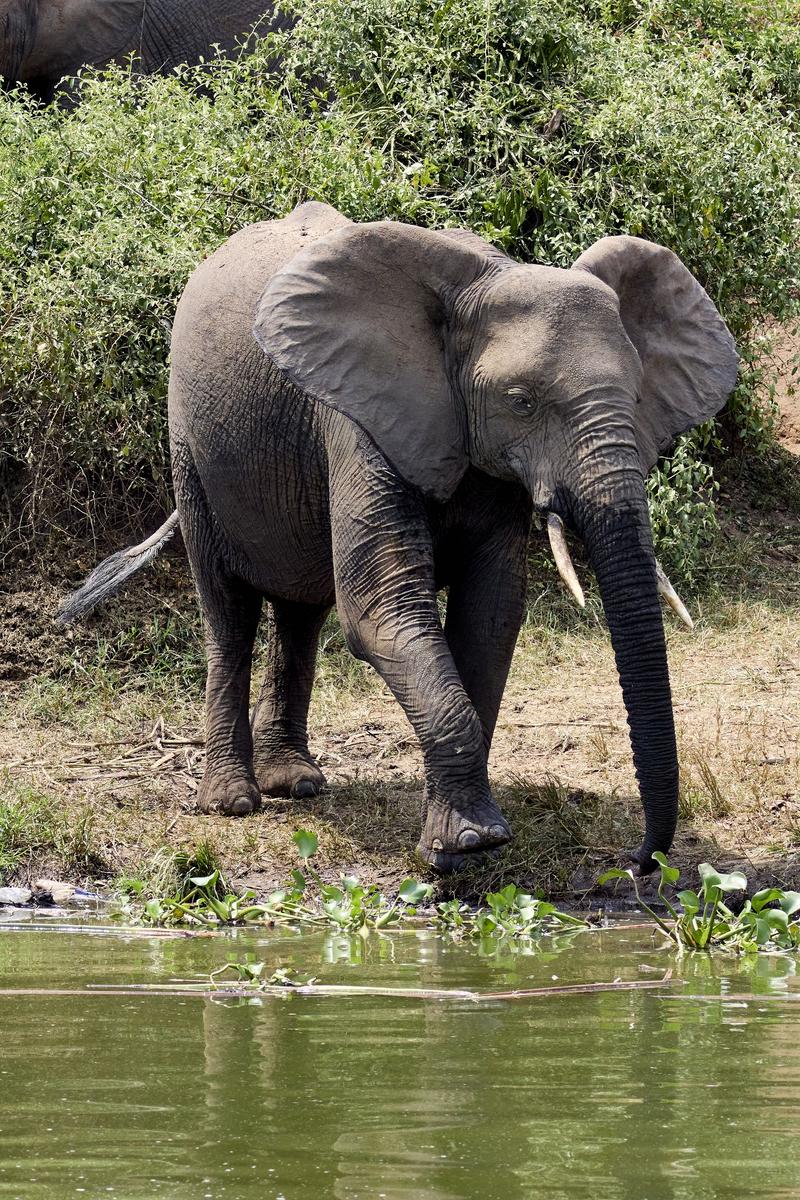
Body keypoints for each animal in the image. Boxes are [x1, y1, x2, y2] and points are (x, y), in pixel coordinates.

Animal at [59, 199, 743, 873]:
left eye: (637, 394)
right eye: (521, 401)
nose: (637, 858)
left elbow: (491, 615)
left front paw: (460, 834)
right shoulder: (358, 417)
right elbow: (381, 610)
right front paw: (469, 842)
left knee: (301, 612)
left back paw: (297, 783)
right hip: (190, 448)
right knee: (227, 610)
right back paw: (234, 801)